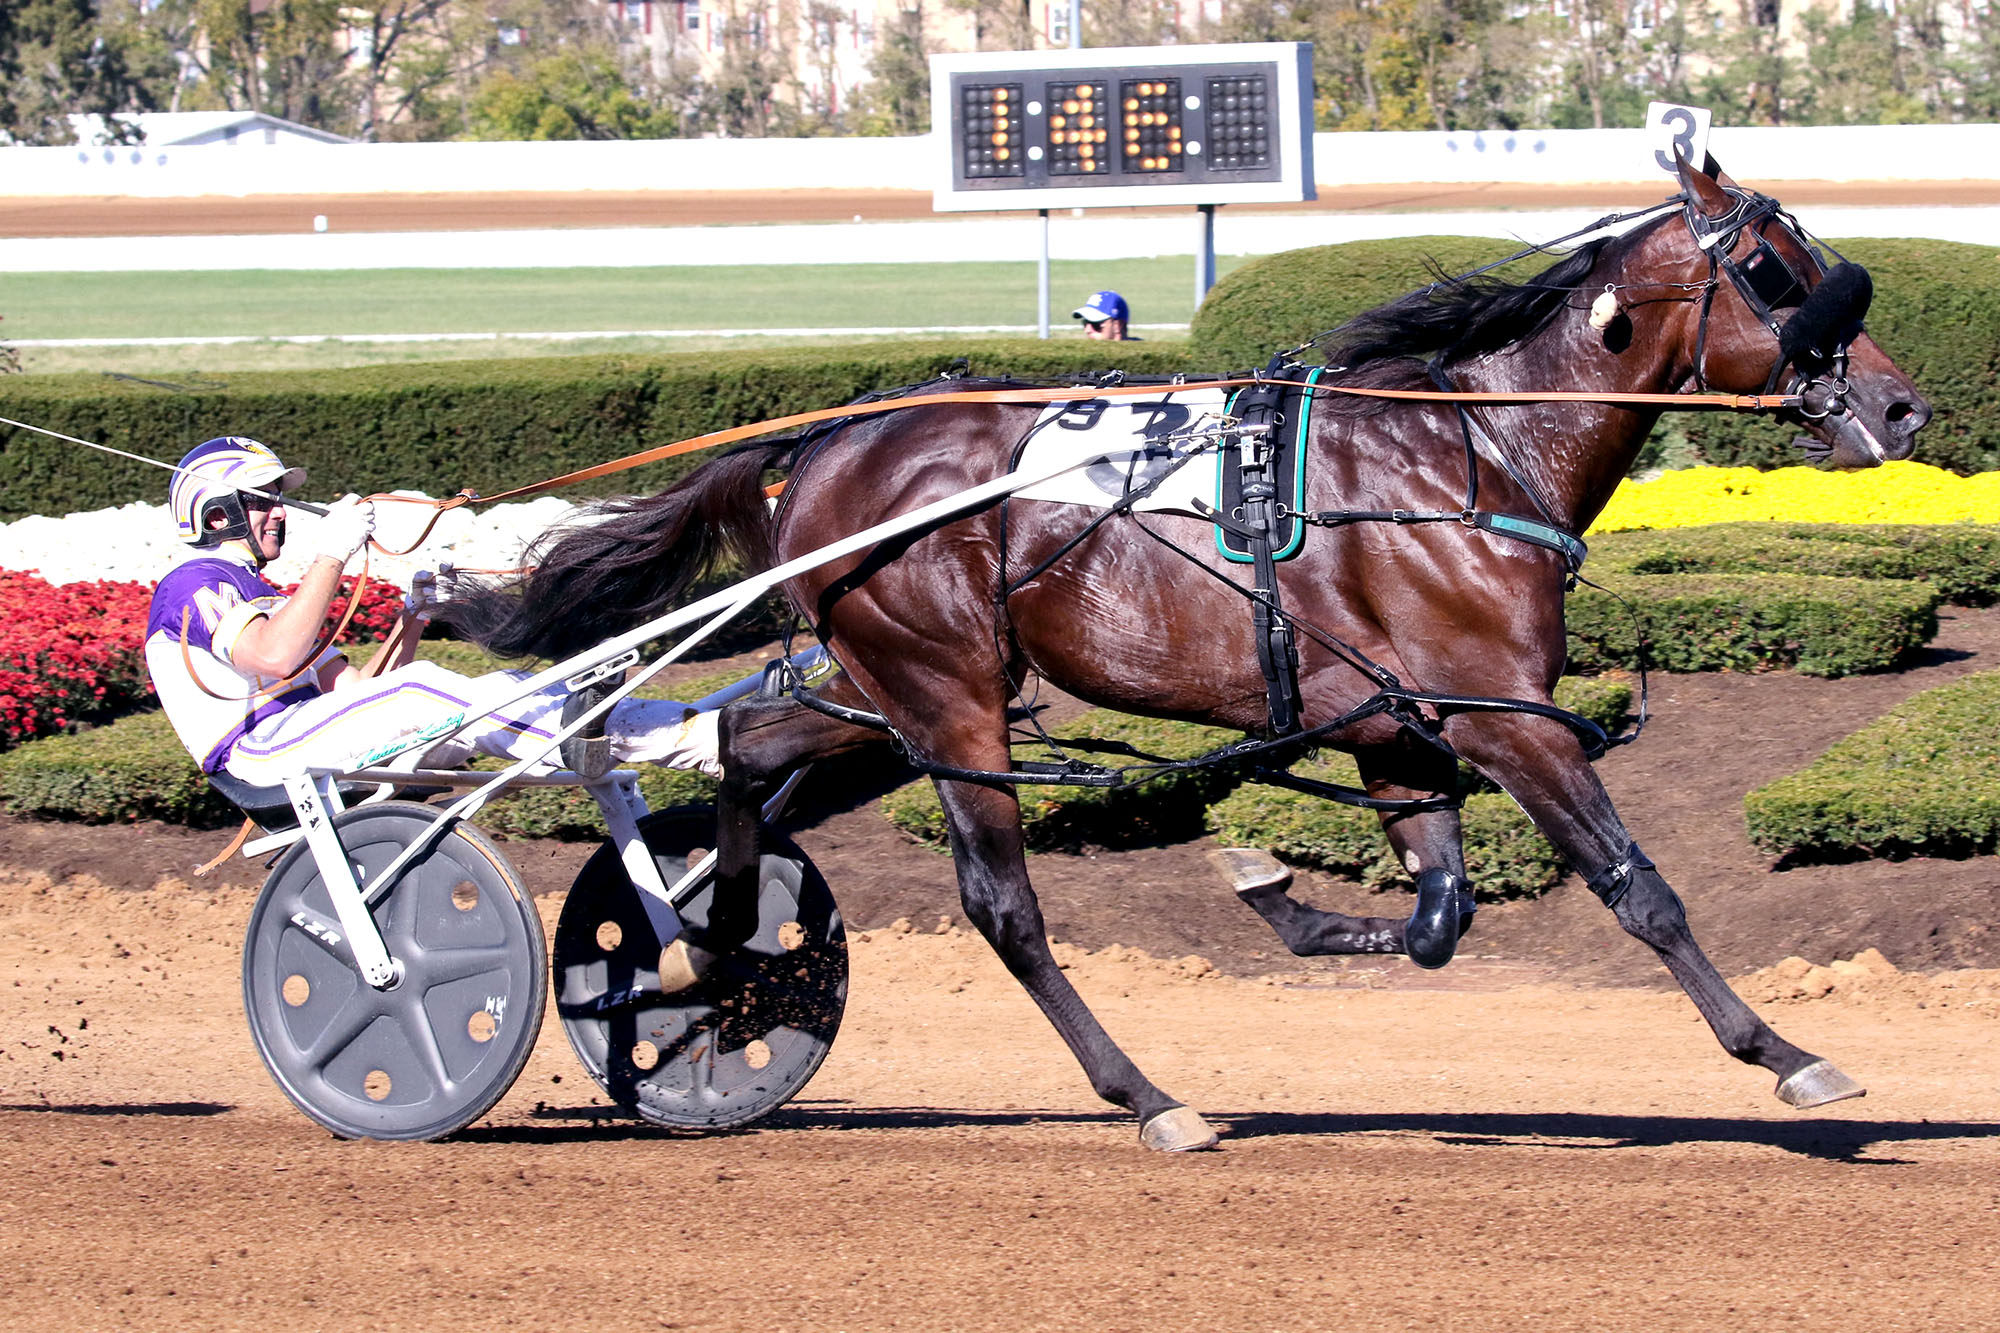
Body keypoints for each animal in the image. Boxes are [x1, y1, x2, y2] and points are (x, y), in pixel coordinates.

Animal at [439, 155, 1931, 1152]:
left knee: (749, 753)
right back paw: (1148, 1097)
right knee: (1002, 909)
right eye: (1779, 272)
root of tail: (820, 444)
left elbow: (1438, 919)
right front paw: (1787, 1053)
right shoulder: (1503, 717)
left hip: (886, 690)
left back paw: (709, 952)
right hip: (947, 699)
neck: (1470, 456)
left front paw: (1275, 889)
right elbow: (1640, 889)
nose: (1904, 406)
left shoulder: (1399, 724)